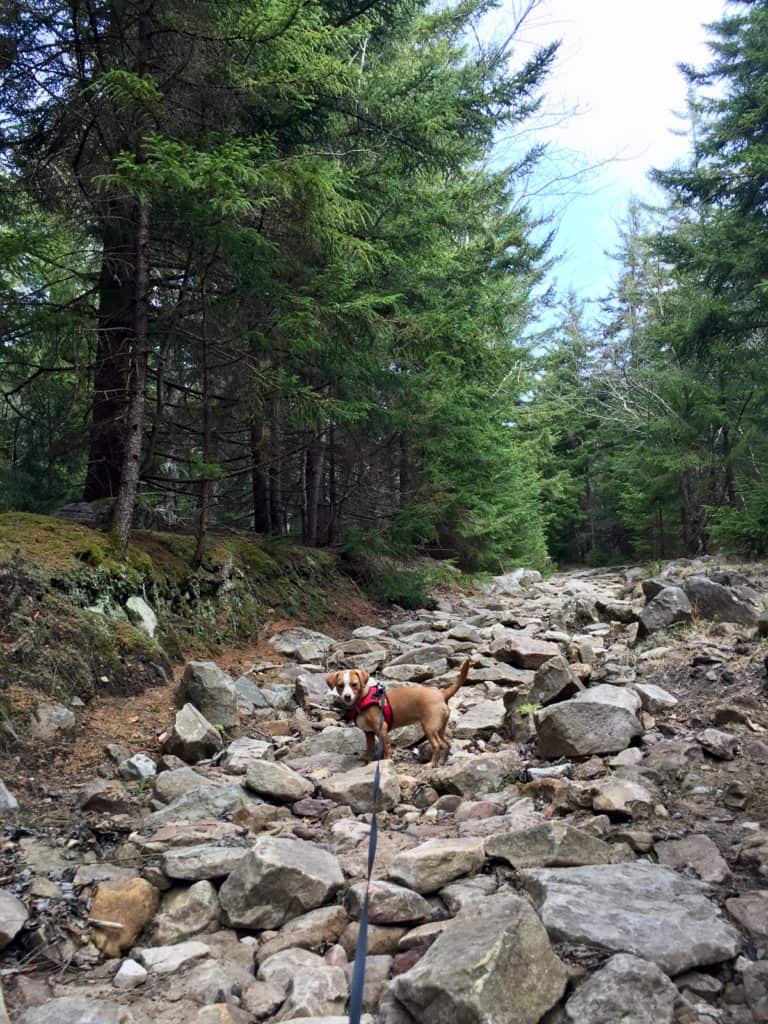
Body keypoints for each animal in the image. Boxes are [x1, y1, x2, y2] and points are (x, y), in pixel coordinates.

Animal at [323, 659, 473, 765]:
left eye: (354, 684)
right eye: (340, 686)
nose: (347, 696)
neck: (363, 699)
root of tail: (441, 694)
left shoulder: (381, 729)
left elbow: (386, 748)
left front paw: (386, 761)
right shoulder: (369, 733)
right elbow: (370, 747)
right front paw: (367, 758)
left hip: (429, 728)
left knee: (438, 745)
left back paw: (432, 764)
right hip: (439, 728)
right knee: (446, 744)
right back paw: (442, 761)